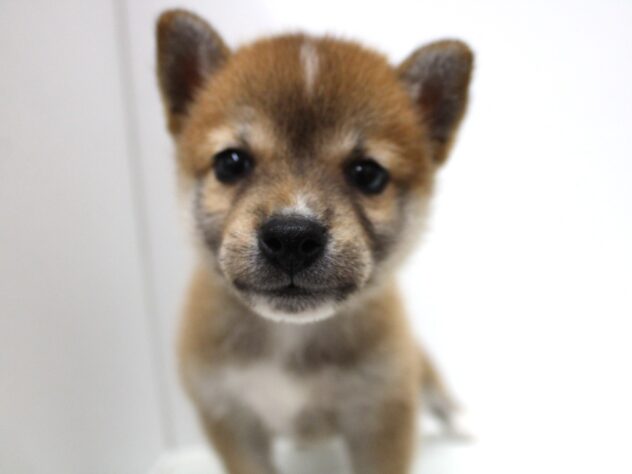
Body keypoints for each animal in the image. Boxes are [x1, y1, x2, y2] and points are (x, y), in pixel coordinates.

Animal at [156, 9, 473, 474]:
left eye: (368, 174)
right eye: (231, 163)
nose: (292, 237)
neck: (289, 338)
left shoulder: (381, 413)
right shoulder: (231, 418)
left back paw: (463, 423)